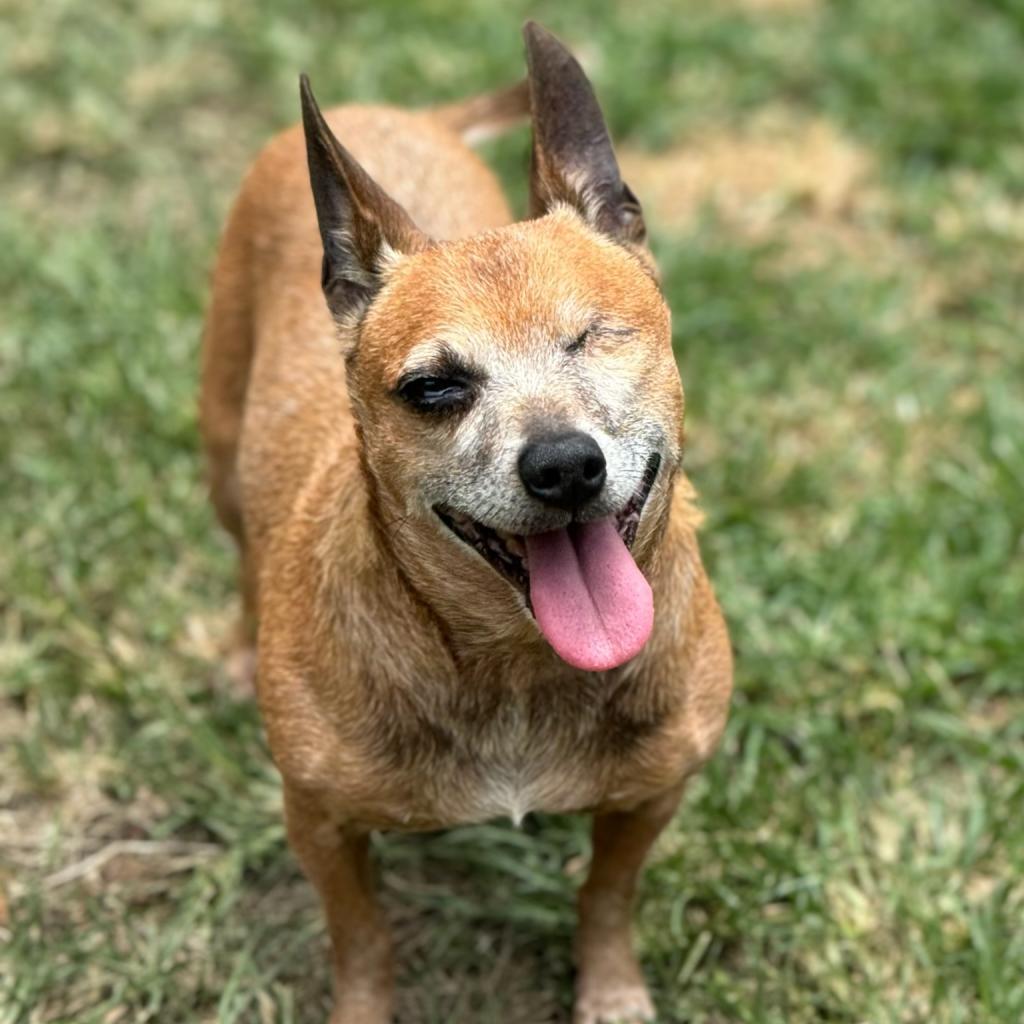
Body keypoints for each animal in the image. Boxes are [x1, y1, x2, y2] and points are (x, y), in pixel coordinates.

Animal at [197, 18, 729, 1024]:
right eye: (434, 389)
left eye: (599, 335)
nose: (563, 465)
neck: (519, 667)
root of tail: (399, 114)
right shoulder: (318, 823)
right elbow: (362, 940)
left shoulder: (652, 796)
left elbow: (607, 896)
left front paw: (610, 990)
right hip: (219, 448)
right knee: (242, 552)